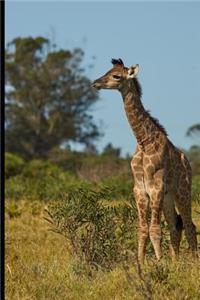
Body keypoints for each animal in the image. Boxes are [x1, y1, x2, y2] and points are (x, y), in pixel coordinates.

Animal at [91, 58, 198, 262]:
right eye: (107, 71)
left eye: (116, 76)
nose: (95, 83)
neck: (143, 141)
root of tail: (188, 164)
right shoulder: (140, 190)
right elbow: (142, 229)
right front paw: (141, 263)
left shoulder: (156, 188)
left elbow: (155, 230)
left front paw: (159, 263)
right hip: (168, 197)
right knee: (175, 226)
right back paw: (175, 262)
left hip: (182, 191)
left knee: (189, 225)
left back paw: (192, 260)